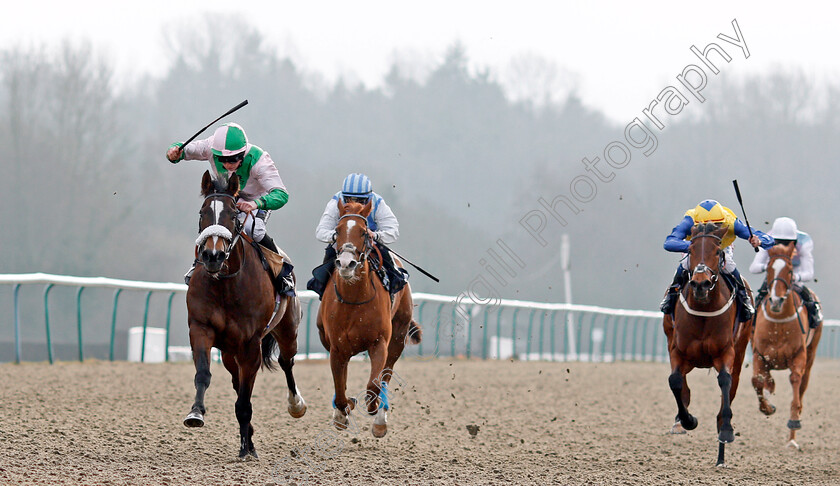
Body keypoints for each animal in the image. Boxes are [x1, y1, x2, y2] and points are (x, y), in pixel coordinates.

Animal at [182, 171, 306, 460]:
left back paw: (296, 405)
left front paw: (245, 450)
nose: (212, 255)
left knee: (286, 361)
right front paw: (196, 413)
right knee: (237, 381)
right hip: (230, 352)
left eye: (234, 214)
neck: (226, 283)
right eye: (203, 212)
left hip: (287, 330)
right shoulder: (201, 329)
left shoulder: (251, 344)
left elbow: (245, 400)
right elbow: (204, 374)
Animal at [316, 197, 420, 436]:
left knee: (386, 375)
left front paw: (372, 407)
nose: (346, 264)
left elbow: (374, 384)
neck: (354, 298)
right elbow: (340, 388)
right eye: (337, 230)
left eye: (364, 232)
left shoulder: (379, 342)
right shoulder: (336, 348)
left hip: (398, 337)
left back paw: (380, 418)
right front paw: (342, 413)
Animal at [668, 223, 752, 468]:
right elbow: (675, 381)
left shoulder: (726, 353)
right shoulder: (678, 351)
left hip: (740, 352)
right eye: (691, 250)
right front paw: (687, 420)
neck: (704, 308)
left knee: (730, 390)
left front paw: (726, 432)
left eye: (716, 251)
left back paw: (721, 455)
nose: (701, 283)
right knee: (682, 385)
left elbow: (724, 382)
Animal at [752, 241, 824, 450]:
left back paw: (792, 439)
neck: (779, 323)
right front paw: (768, 407)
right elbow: (757, 380)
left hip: (811, 354)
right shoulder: (759, 353)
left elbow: (795, 383)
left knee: (802, 388)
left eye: (790, 270)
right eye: (769, 268)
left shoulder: (798, 355)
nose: (776, 301)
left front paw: (793, 420)